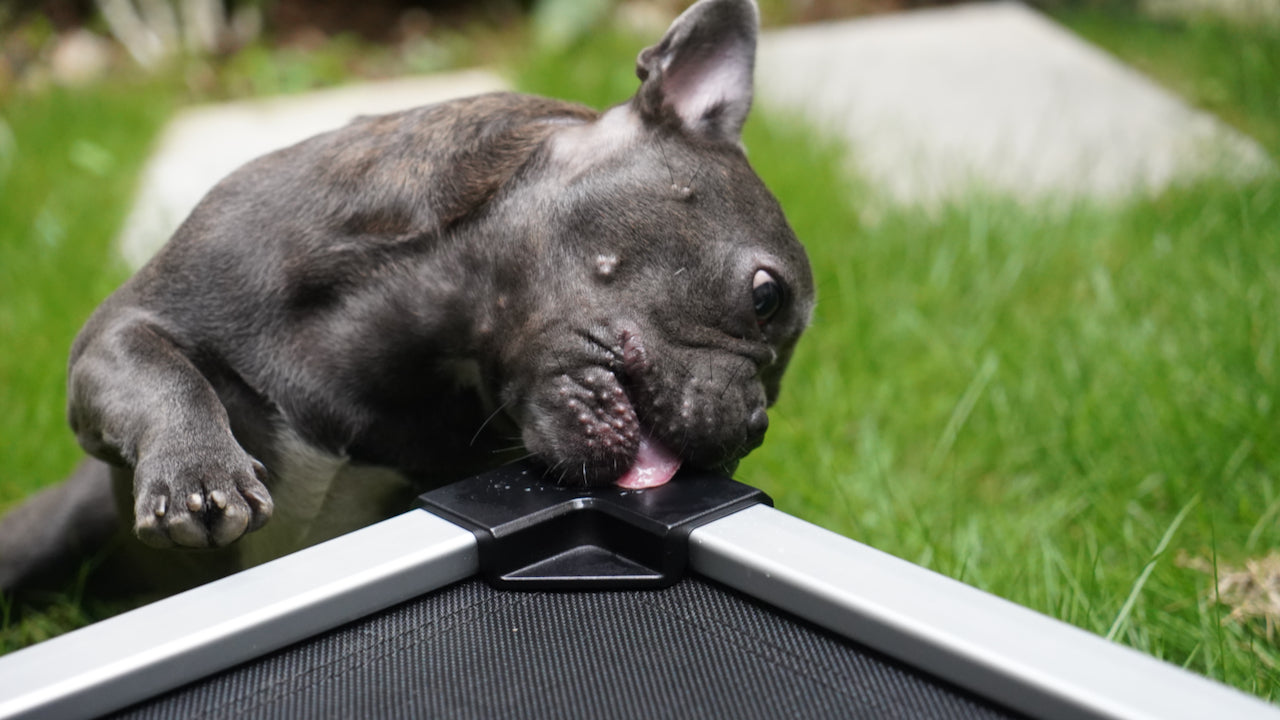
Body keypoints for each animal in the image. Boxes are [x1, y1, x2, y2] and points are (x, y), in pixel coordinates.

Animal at [0, 0, 814, 594]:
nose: (754, 424)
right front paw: (196, 469)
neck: (416, 330)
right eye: (766, 297)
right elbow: (161, 372)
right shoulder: (120, 331)